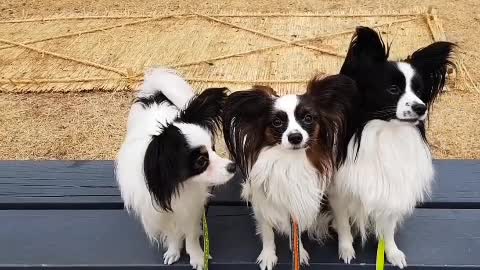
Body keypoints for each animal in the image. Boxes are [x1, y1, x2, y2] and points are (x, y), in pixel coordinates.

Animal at [116, 69, 236, 270]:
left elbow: (191, 234)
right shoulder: (160, 212)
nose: (233, 167)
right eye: (201, 161)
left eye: (212, 149)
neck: (175, 186)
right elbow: (172, 234)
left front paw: (197, 257)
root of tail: (155, 93)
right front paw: (174, 251)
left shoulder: (193, 206)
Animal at [223, 76, 354, 270]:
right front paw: (268, 255)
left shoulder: (298, 202)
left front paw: (299, 251)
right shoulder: (263, 203)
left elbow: (296, 232)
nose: (295, 137)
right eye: (277, 122)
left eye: (308, 118)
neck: (291, 161)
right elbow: (267, 231)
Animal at [324, 26, 456, 266]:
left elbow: (388, 228)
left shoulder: (391, 191)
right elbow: (345, 224)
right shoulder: (339, 192)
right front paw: (346, 249)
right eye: (393, 89)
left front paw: (392, 252)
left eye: (419, 92)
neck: (387, 132)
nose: (421, 108)